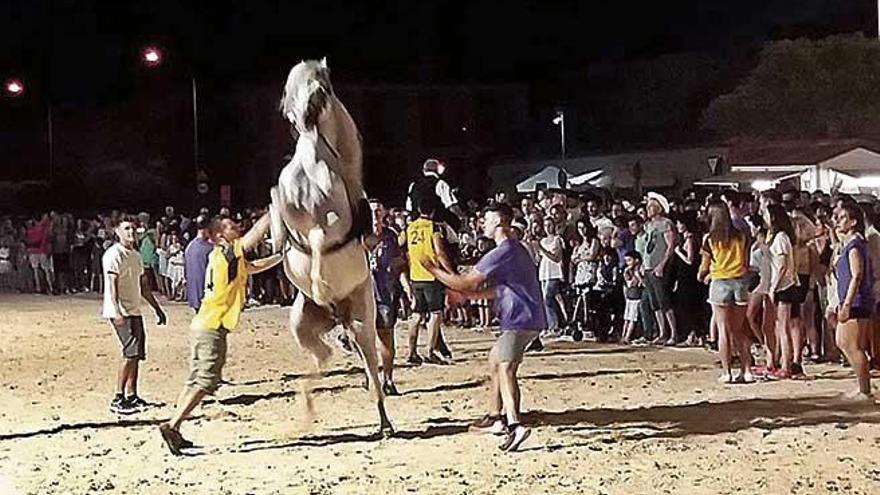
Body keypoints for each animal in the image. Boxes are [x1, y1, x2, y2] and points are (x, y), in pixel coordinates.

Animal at [268, 60, 392, 436]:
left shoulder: (331, 224)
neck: (312, 161)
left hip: (363, 322)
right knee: (325, 356)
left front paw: (320, 283)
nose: (305, 115)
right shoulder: (286, 203)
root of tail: (339, 315)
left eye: (324, 87)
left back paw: (385, 423)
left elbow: (320, 242)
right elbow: (276, 207)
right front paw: (279, 243)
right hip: (302, 326)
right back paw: (306, 407)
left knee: (371, 368)